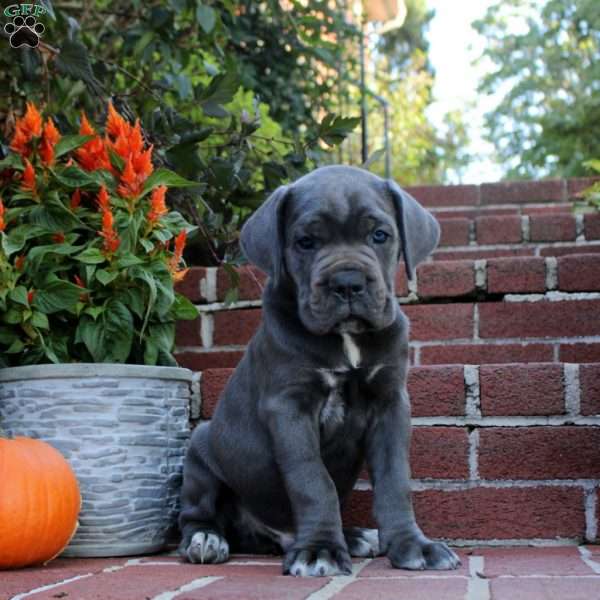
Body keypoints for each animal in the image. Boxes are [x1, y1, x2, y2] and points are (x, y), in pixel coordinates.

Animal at [178, 164, 460, 576]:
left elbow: (395, 480)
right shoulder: (290, 406)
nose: (348, 283)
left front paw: (413, 545)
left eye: (379, 235)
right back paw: (206, 539)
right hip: (200, 451)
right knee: (196, 514)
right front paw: (320, 551)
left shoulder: (390, 402)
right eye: (306, 242)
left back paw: (356, 536)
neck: (346, 340)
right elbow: (313, 480)